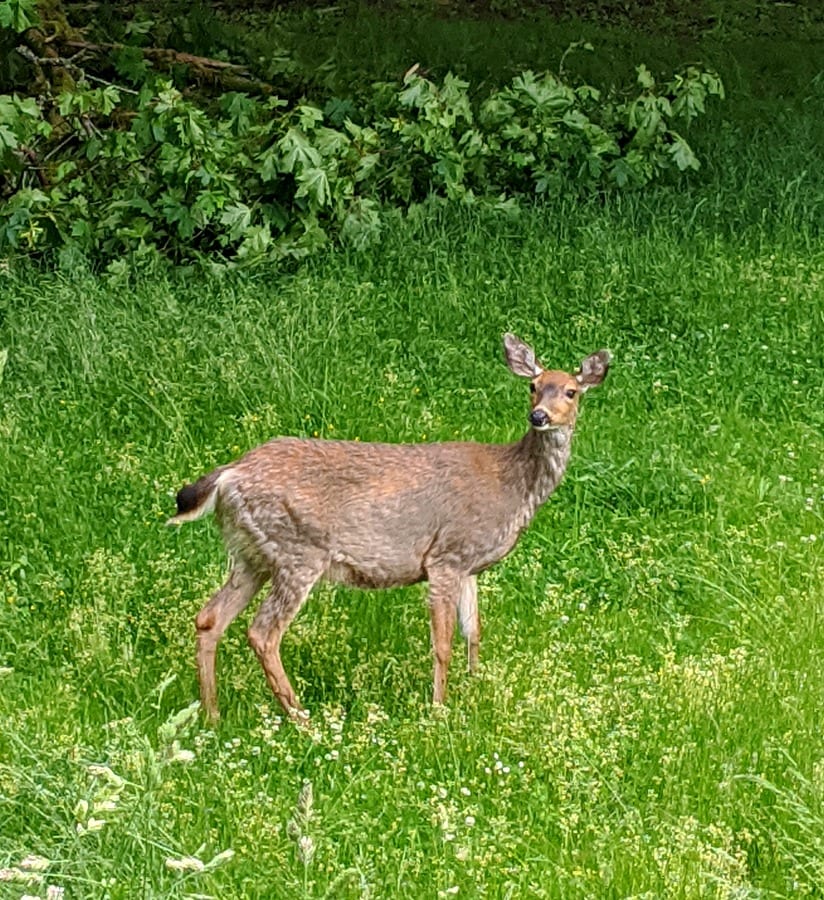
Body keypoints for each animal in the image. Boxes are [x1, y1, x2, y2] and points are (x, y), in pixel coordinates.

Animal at [167, 334, 608, 720]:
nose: (539, 416)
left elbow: (474, 632)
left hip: (253, 554)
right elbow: (442, 643)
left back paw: (212, 715)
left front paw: (474, 687)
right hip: (298, 550)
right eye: (533, 386)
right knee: (263, 632)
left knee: (209, 617)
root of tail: (230, 474)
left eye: (571, 391)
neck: (510, 485)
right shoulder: (446, 555)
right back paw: (302, 719)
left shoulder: (470, 565)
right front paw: (439, 709)